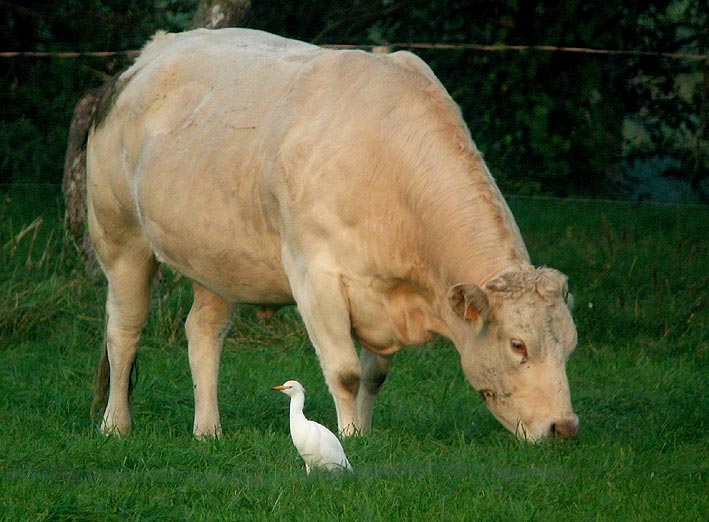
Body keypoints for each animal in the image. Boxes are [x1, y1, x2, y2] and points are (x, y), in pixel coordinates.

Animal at [85, 27, 580, 438]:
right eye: (518, 344)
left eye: (571, 344)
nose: (565, 428)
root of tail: (151, 54)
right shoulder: (316, 276)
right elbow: (345, 371)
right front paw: (349, 437)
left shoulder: (384, 293)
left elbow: (374, 374)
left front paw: (362, 431)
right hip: (120, 238)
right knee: (124, 330)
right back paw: (115, 424)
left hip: (216, 258)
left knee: (203, 333)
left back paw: (208, 430)